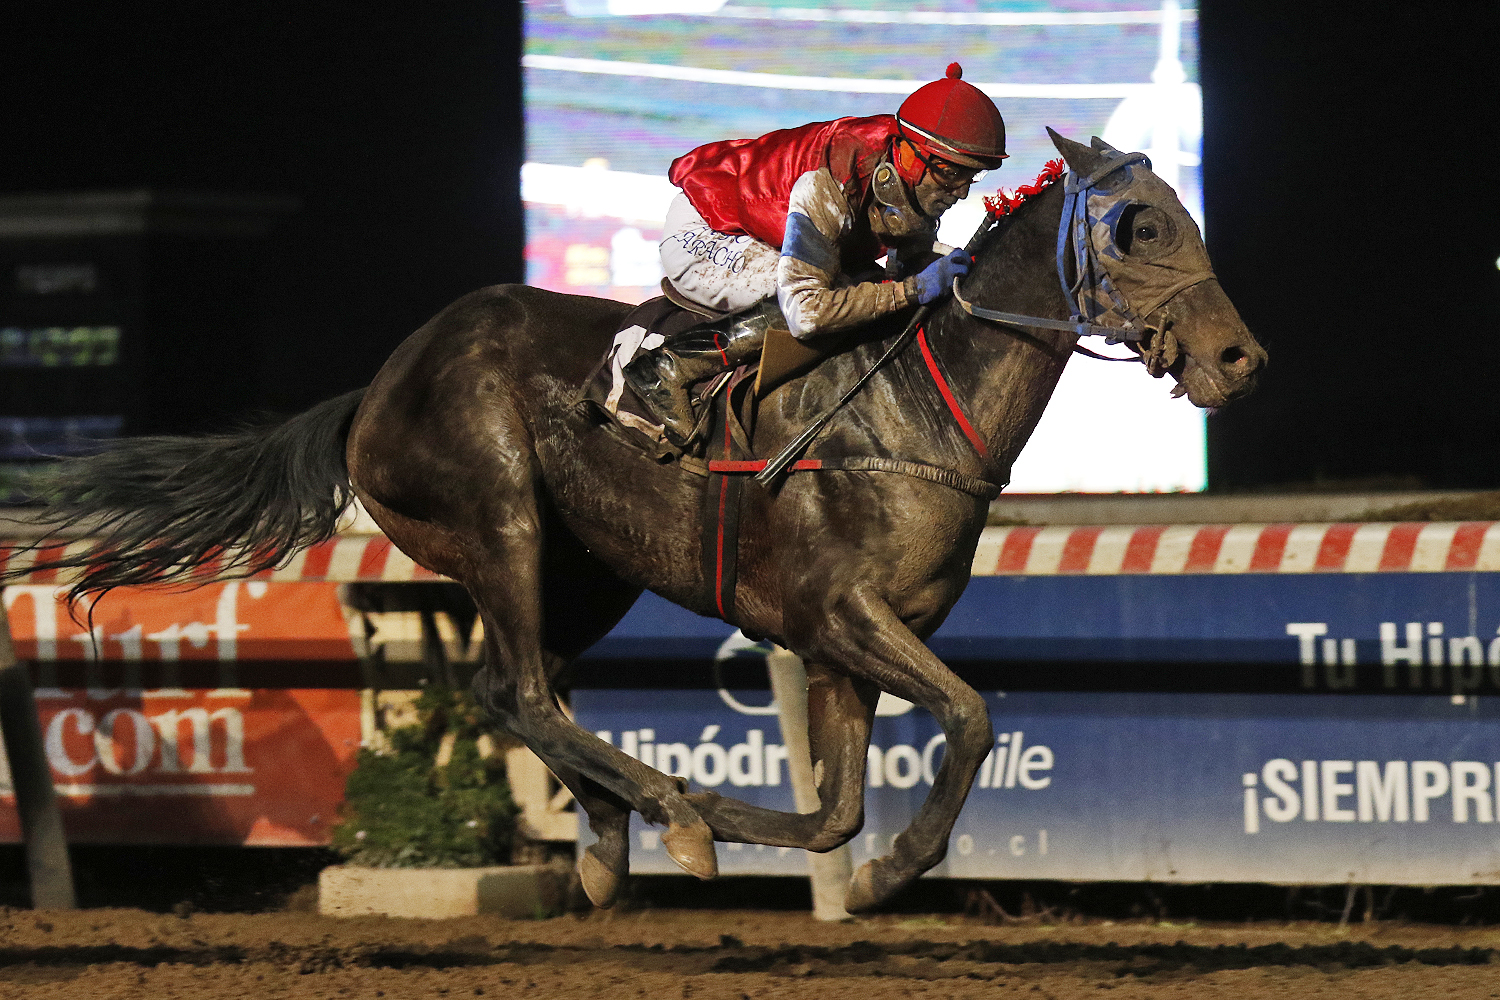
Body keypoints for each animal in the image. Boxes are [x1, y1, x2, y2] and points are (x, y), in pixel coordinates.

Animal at [9, 132, 1265, 912]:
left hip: (590, 568)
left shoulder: (846, 644)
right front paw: (872, 860)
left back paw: (613, 838)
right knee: (519, 688)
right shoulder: (840, 616)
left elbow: (835, 812)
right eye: (1139, 228)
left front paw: (828, 859)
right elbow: (968, 719)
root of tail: (375, 388)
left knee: (525, 692)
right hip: (498, 517)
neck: (919, 400)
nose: (1239, 356)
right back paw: (657, 812)